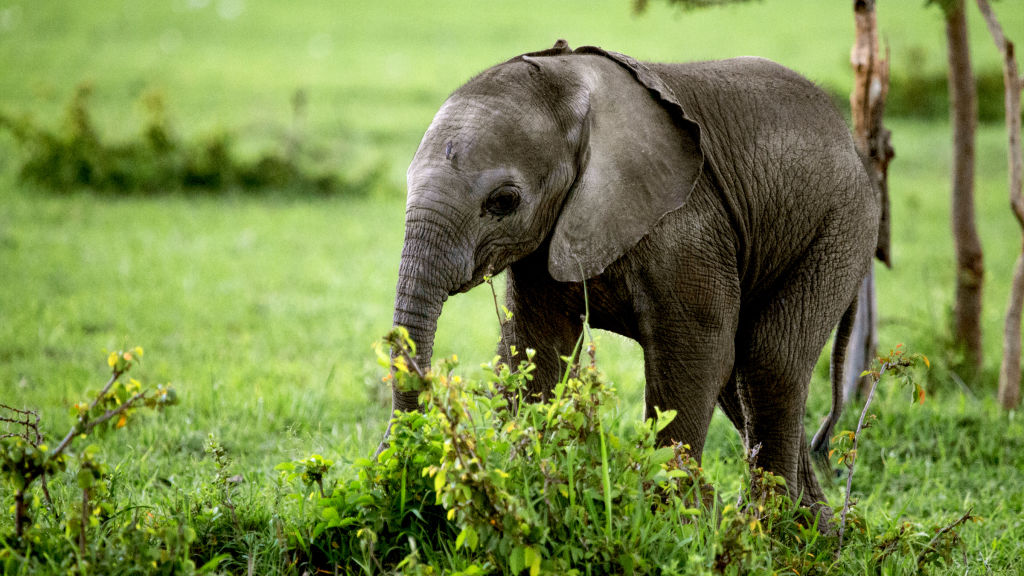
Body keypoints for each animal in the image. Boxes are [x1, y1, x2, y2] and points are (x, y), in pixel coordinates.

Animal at [385, 40, 880, 516]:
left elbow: (693, 356)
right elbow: (535, 352)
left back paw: (774, 527)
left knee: (768, 361)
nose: (400, 463)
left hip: (840, 228)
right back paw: (814, 528)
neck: (575, 88)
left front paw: (677, 519)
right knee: (743, 378)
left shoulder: (688, 226)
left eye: (503, 201)